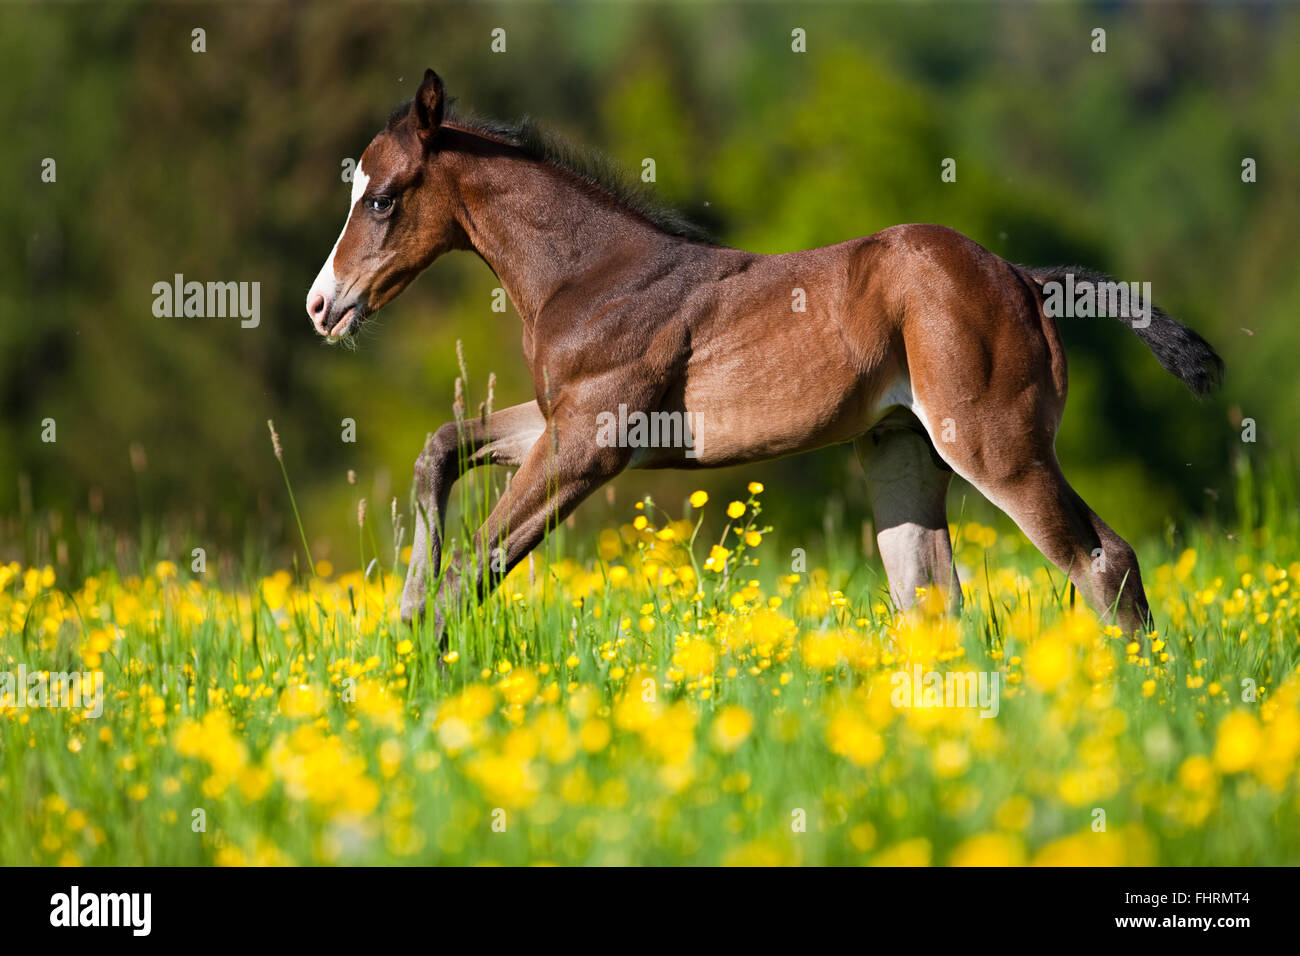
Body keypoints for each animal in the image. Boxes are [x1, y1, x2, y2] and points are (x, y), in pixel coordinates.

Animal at [306, 68, 1223, 644]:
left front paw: (416, 662)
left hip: (995, 445)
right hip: (903, 451)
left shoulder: (592, 441)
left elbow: (479, 560)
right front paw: (403, 611)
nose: (322, 306)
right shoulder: (563, 420)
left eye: (382, 200)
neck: (591, 273)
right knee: (931, 598)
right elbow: (439, 450)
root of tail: (1025, 278)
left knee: (1103, 562)